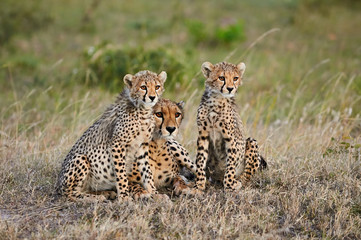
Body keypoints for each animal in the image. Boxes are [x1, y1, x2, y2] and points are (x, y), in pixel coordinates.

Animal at [56, 70, 166, 202]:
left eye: (157, 87)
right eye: (143, 87)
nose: (152, 97)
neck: (143, 110)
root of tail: (57, 184)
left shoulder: (142, 146)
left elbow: (147, 172)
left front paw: (155, 193)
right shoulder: (117, 144)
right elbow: (121, 174)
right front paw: (124, 197)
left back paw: (106, 193)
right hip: (80, 158)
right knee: (69, 193)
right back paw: (95, 198)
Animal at [194, 62, 268, 193]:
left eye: (235, 78)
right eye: (221, 78)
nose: (230, 88)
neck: (216, 100)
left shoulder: (231, 138)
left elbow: (231, 164)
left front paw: (229, 185)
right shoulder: (203, 136)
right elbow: (200, 160)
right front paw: (199, 185)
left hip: (251, 141)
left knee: (247, 175)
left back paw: (237, 182)